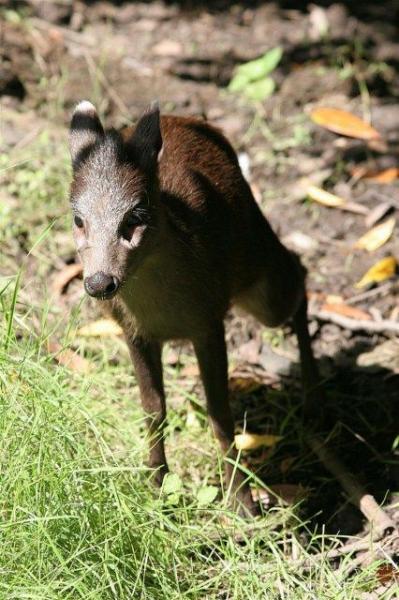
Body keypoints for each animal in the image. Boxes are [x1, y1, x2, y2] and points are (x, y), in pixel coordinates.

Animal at [68, 101, 318, 512]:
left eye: (135, 216)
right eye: (78, 219)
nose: (99, 282)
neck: (165, 309)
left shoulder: (209, 321)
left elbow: (220, 414)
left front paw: (242, 503)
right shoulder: (134, 332)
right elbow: (153, 408)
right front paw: (157, 487)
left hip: (260, 275)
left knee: (299, 270)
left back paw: (315, 393)